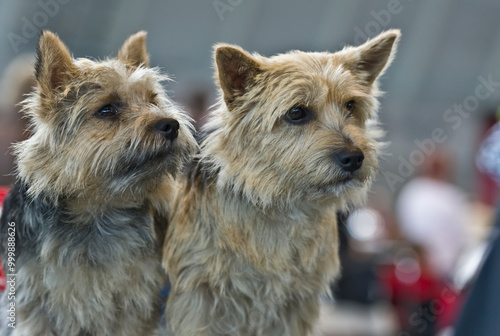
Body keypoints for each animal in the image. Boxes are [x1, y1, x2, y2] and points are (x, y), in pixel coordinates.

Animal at [0, 30, 195, 334]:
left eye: (153, 100)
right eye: (107, 110)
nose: (171, 125)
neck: (99, 208)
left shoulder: (136, 303)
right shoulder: (33, 304)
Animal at [165, 30, 402, 334]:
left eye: (350, 105)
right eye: (297, 112)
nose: (354, 157)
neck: (282, 206)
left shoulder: (295, 306)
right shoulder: (197, 301)